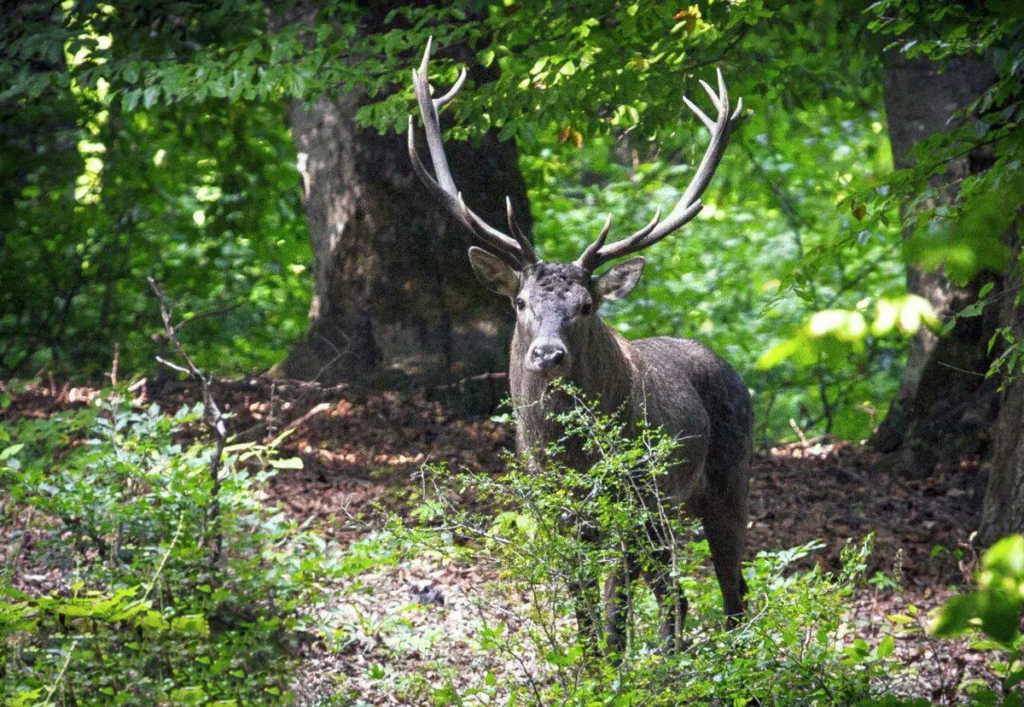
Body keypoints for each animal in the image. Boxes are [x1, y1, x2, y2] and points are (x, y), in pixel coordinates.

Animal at [407, 39, 753, 655]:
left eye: (587, 306)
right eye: (521, 302)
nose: (547, 355)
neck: (570, 452)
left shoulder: (630, 497)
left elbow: (614, 607)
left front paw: (613, 665)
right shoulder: (555, 506)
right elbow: (584, 605)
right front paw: (591, 664)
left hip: (724, 480)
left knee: (731, 590)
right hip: (668, 508)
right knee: (679, 593)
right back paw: (674, 657)